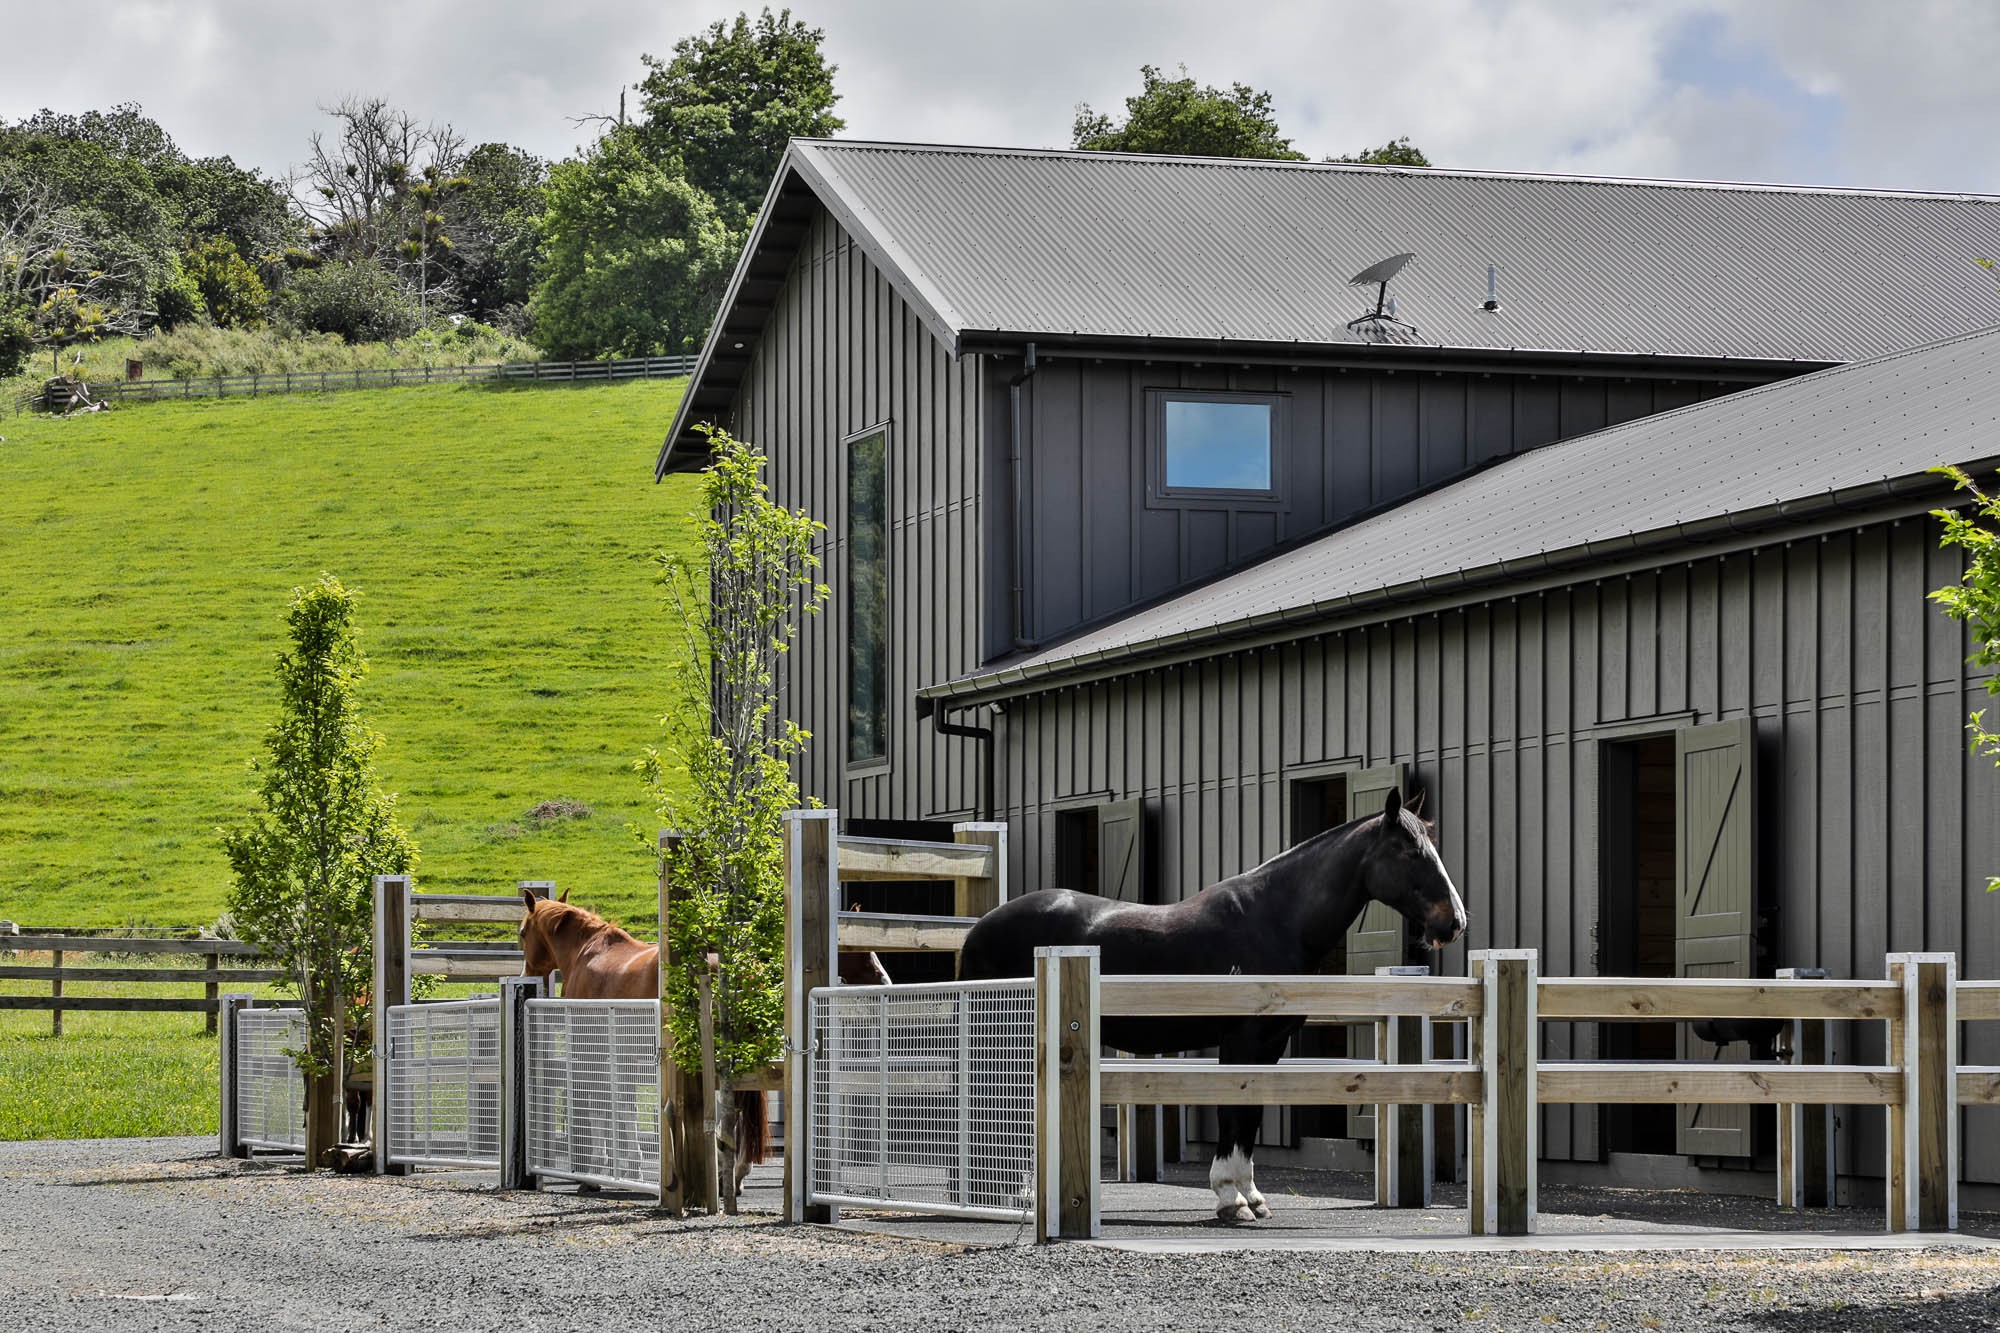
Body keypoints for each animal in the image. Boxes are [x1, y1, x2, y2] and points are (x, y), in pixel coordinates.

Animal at [958, 787, 1467, 1223]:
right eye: (1408, 851)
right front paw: (1230, 1198)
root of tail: (979, 929)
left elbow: (1251, 1116)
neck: (1276, 919)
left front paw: (1252, 1197)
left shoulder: (1269, 1047)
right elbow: (1232, 1113)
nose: (1454, 921)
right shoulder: (1241, 1042)